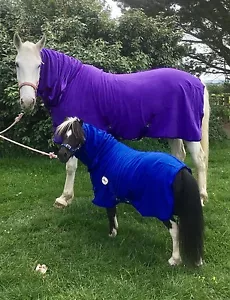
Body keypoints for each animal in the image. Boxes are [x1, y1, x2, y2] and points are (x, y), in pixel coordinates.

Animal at [13, 33, 210, 206]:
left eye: (39, 65)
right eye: (17, 64)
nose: (27, 101)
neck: (68, 83)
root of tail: (197, 82)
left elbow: (70, 166)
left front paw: (64, 198)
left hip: (189, 132)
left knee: (199, 159)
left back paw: (201, 197)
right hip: (172, 131)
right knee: (179, 155)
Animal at [56, 117, 204, 268]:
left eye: (77, 137)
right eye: (65, 135)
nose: (62, 154)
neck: (106, 155)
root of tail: (182, 172)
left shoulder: (106, 193)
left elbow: (110, 213)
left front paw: (111, 234)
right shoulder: (112, 194)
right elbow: (113, 212)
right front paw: (115, 230)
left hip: (163, 210)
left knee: (175, 229)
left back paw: (174, 259)